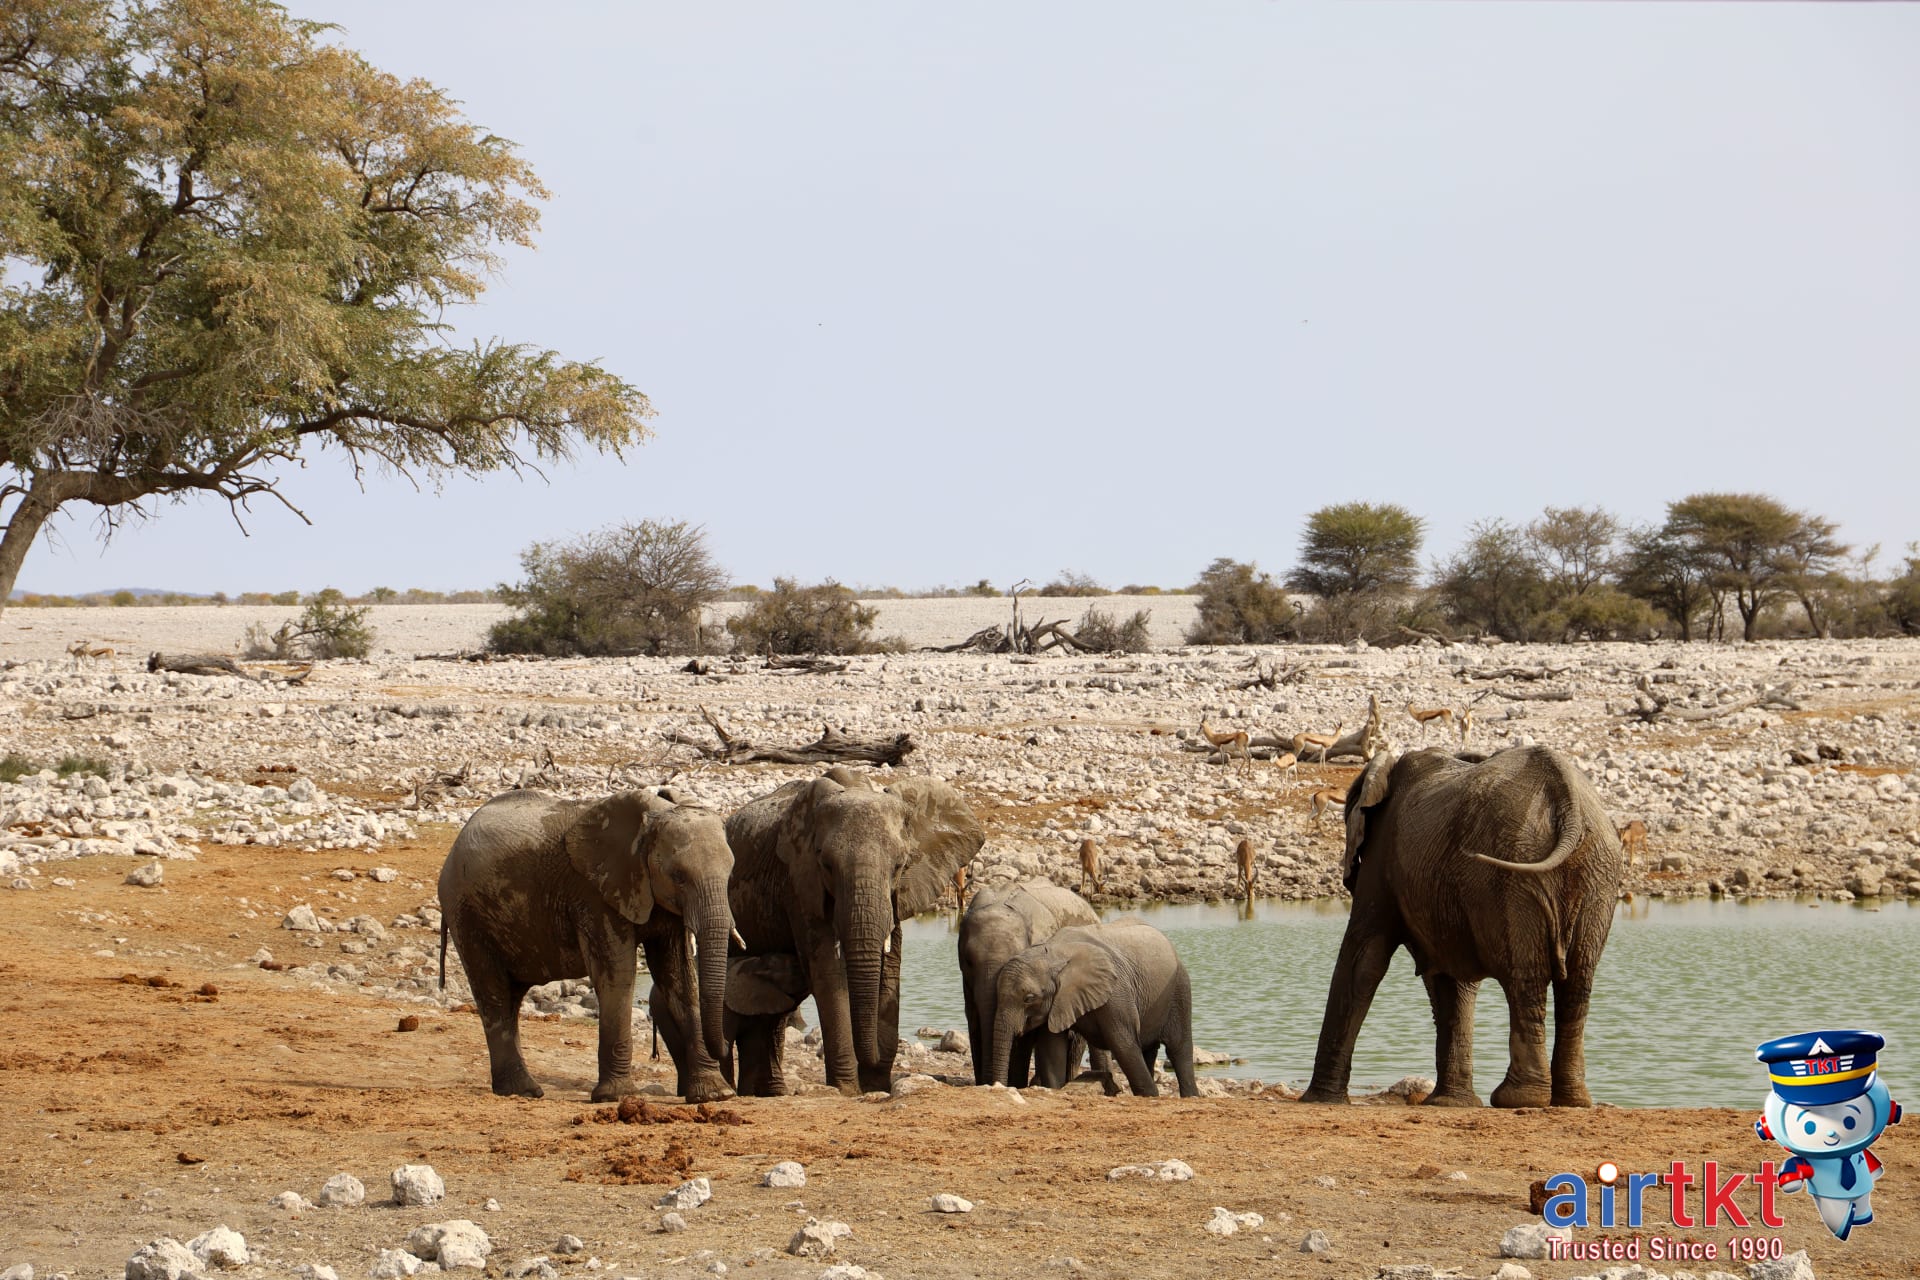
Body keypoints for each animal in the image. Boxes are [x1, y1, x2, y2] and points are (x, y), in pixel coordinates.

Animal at [437, 787, 737, 1103]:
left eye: (730, 874)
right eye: (678, 876)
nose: (725, 1044)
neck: (653, 816)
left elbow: (679, 975)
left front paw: (714, 1095)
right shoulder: (594, 893)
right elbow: (619, 973)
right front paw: (614, 1097)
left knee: (511, 998)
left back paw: (521, 1090)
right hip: (467, 914)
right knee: (493, 993)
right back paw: (523, 1090)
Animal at [726, 767, 984, 1095]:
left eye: (899, 865)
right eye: (826, 865)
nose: (872, 1067)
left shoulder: (897, 896)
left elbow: (889, 971)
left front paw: (876, 1086)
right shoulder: (798, 882)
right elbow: (828, 973)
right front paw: (848, 1089)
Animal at [991, 919, 1198, 1098]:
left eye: (1029, 999)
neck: (1055, 955)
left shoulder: (1116, 992)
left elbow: (1123, 1044)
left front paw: (1151, 1095)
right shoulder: (1055, 1003)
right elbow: (1051, 1050)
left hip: (1179, 988)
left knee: (1178, 1048)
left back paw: (1191, 1096)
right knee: (1149, 1048)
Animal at [1301, 745, 1624, 1109]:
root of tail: (1568, 802)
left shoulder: (1382, 854)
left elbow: (1364, 958)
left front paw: (1319, 1101)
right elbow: (1452, 979)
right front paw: (1450, 1104)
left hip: (1516, 874)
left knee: (1526, 977)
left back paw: (1516, 1098)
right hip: (1594, 873)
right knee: (1576, 983)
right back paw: (1571, 1100)